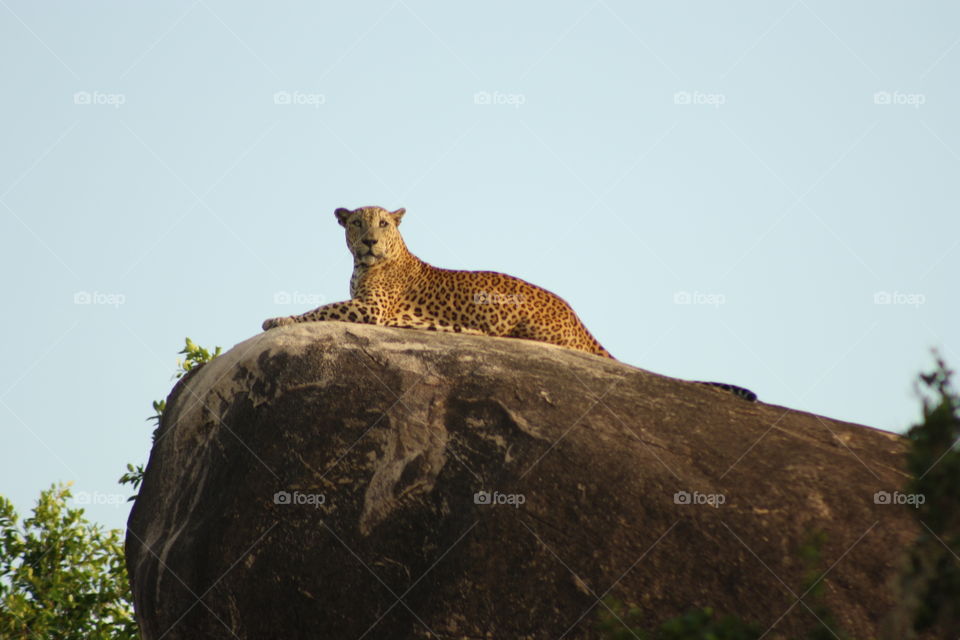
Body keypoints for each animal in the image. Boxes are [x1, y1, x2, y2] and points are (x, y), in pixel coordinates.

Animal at [264, 208, 756, 402]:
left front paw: (278, 318)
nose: (369, 241)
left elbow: (323, 308)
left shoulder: (371, 310)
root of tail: (575, 314)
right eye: (357, 224)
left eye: (384, 223)